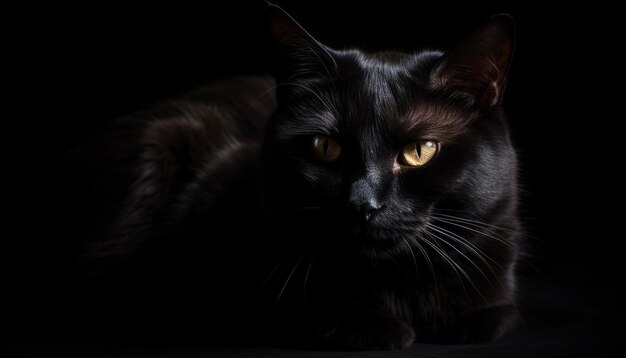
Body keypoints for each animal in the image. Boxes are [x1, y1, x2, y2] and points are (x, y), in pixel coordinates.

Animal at [36, 2, 520, 350]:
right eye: (326, 147)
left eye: (419, 152)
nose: (364, 204)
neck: (396, 284)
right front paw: (369, 325)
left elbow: (495, 314)